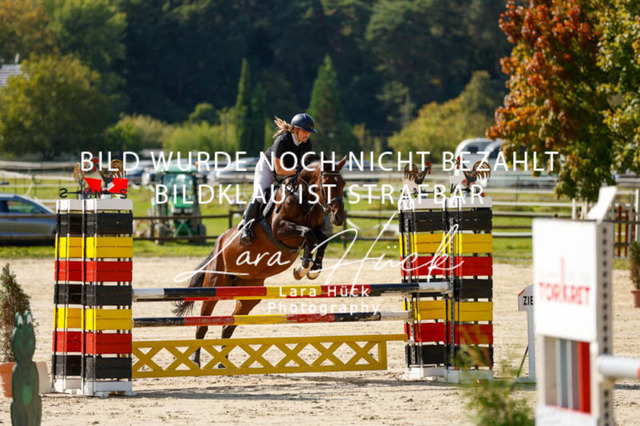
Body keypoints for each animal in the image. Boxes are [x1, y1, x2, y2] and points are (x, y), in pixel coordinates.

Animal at [173, 155, 347, 365]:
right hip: (215, 283)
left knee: (228, 326)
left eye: (343, 184)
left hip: (250, 293)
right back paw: (196, 360)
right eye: (327, 183)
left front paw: (313, 267)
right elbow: (309, 234)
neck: (303, 198)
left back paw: (223, 363)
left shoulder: (314, 229)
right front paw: (304, 266)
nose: (339, 217)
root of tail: (219, 242)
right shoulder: (280, 230)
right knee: (202, 324)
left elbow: (321, 238)